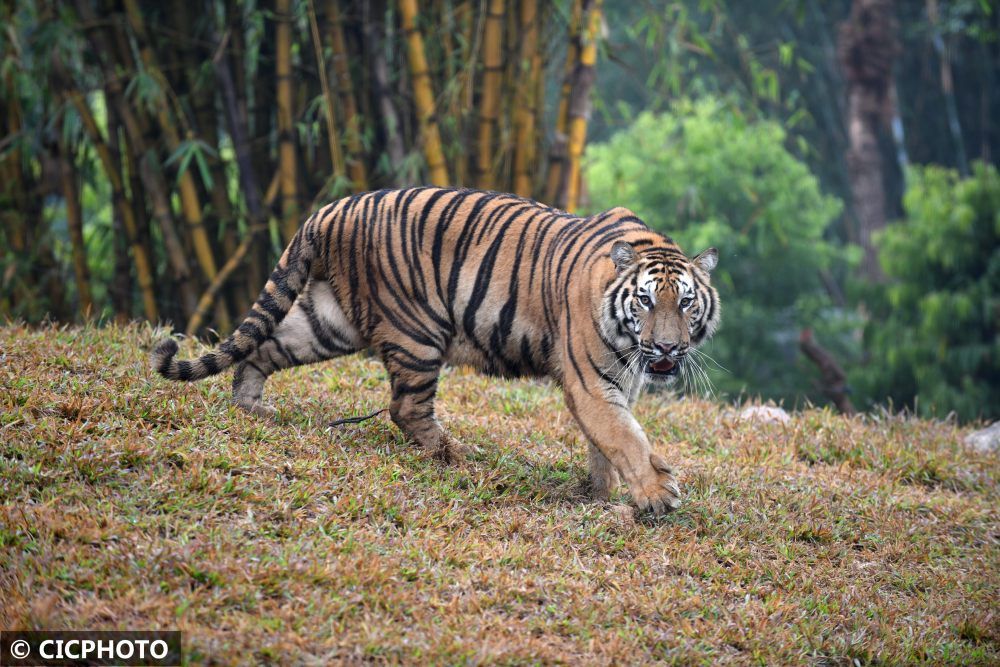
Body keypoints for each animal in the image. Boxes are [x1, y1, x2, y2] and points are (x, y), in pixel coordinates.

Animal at [152, 188, 720, 516]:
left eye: (686, 302)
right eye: (645, 300)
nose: (667, 346)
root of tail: (330, 208)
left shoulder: (620, 379)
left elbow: (608, 441)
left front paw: (602, 493)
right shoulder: (590, 380)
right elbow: (624, 436)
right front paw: (656, 494)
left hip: (329, 322)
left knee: (262, 347)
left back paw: (252, 407)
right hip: (418, 329)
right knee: (407, 407)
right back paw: (458, 456)